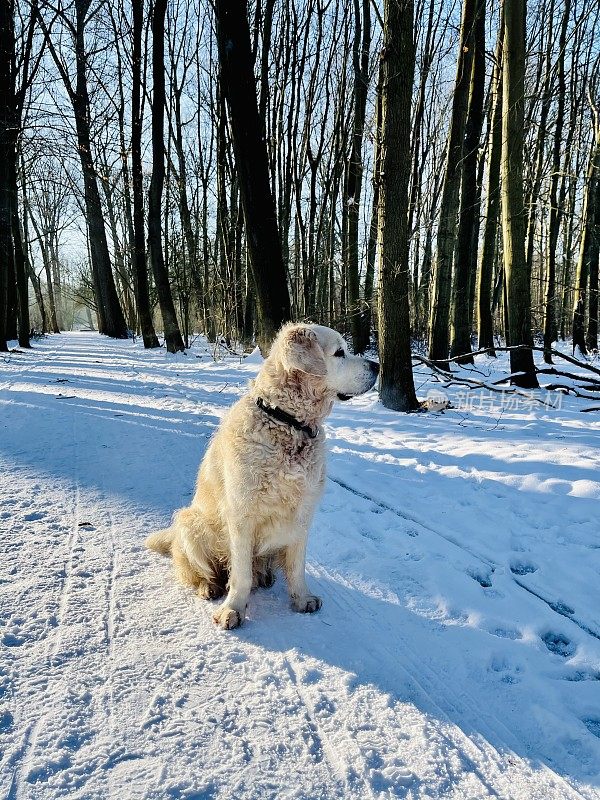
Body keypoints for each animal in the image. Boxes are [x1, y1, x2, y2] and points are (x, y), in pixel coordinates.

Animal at [146, 322, 378, 628]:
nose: (377, 366)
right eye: (340, 353)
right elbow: (241, 574)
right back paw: (209, 587)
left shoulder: (302, 513)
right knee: (198, 571)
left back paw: (265, 577)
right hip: (189, 522)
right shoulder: (242, 515)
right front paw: (233, 609)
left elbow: (296, 566)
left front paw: (302, 599)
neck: (288, 423)